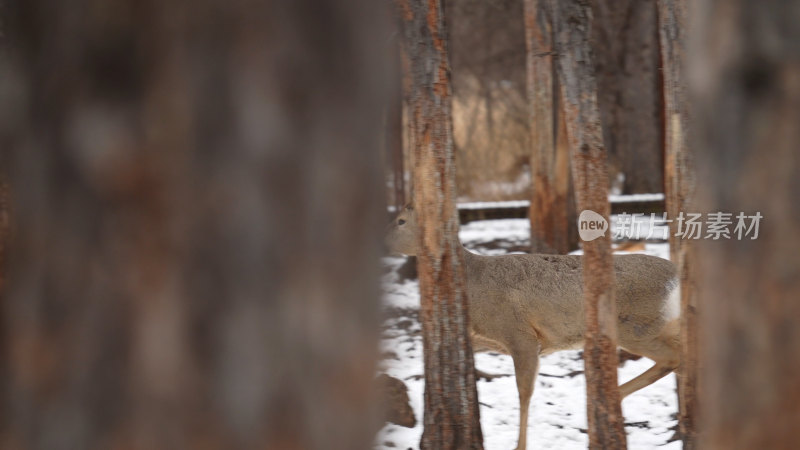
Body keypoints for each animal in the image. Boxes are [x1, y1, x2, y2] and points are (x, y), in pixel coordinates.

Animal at [384, 207, 680, 450]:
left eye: (401, 220)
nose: (382, 242)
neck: (474, 283)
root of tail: (676, 276)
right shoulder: (486, 339)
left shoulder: (520, 334)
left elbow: (524, 392)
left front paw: (519, 446)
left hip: (635, 326)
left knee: (673, 357)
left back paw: (609, 400)